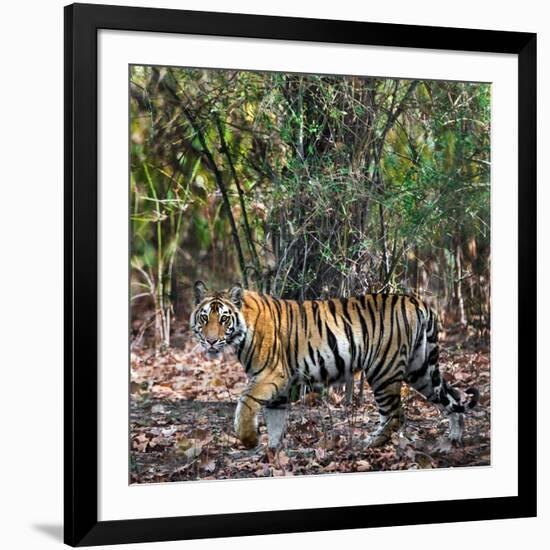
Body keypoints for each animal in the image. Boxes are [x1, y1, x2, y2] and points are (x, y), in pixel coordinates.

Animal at [190, 282, 478, 454]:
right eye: (204, 318)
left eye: (223, 319)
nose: (211, 341)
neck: (241, 333)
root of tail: (416, 301)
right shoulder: (280, 388)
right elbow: (275, 421)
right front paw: (273, 453)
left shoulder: (272, 374)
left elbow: (246, 402)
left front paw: (249, 439)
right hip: (420, 370)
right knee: (451, 398)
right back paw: (452, 441)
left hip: (383, 370)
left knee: (396, 415)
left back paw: (369, 444)